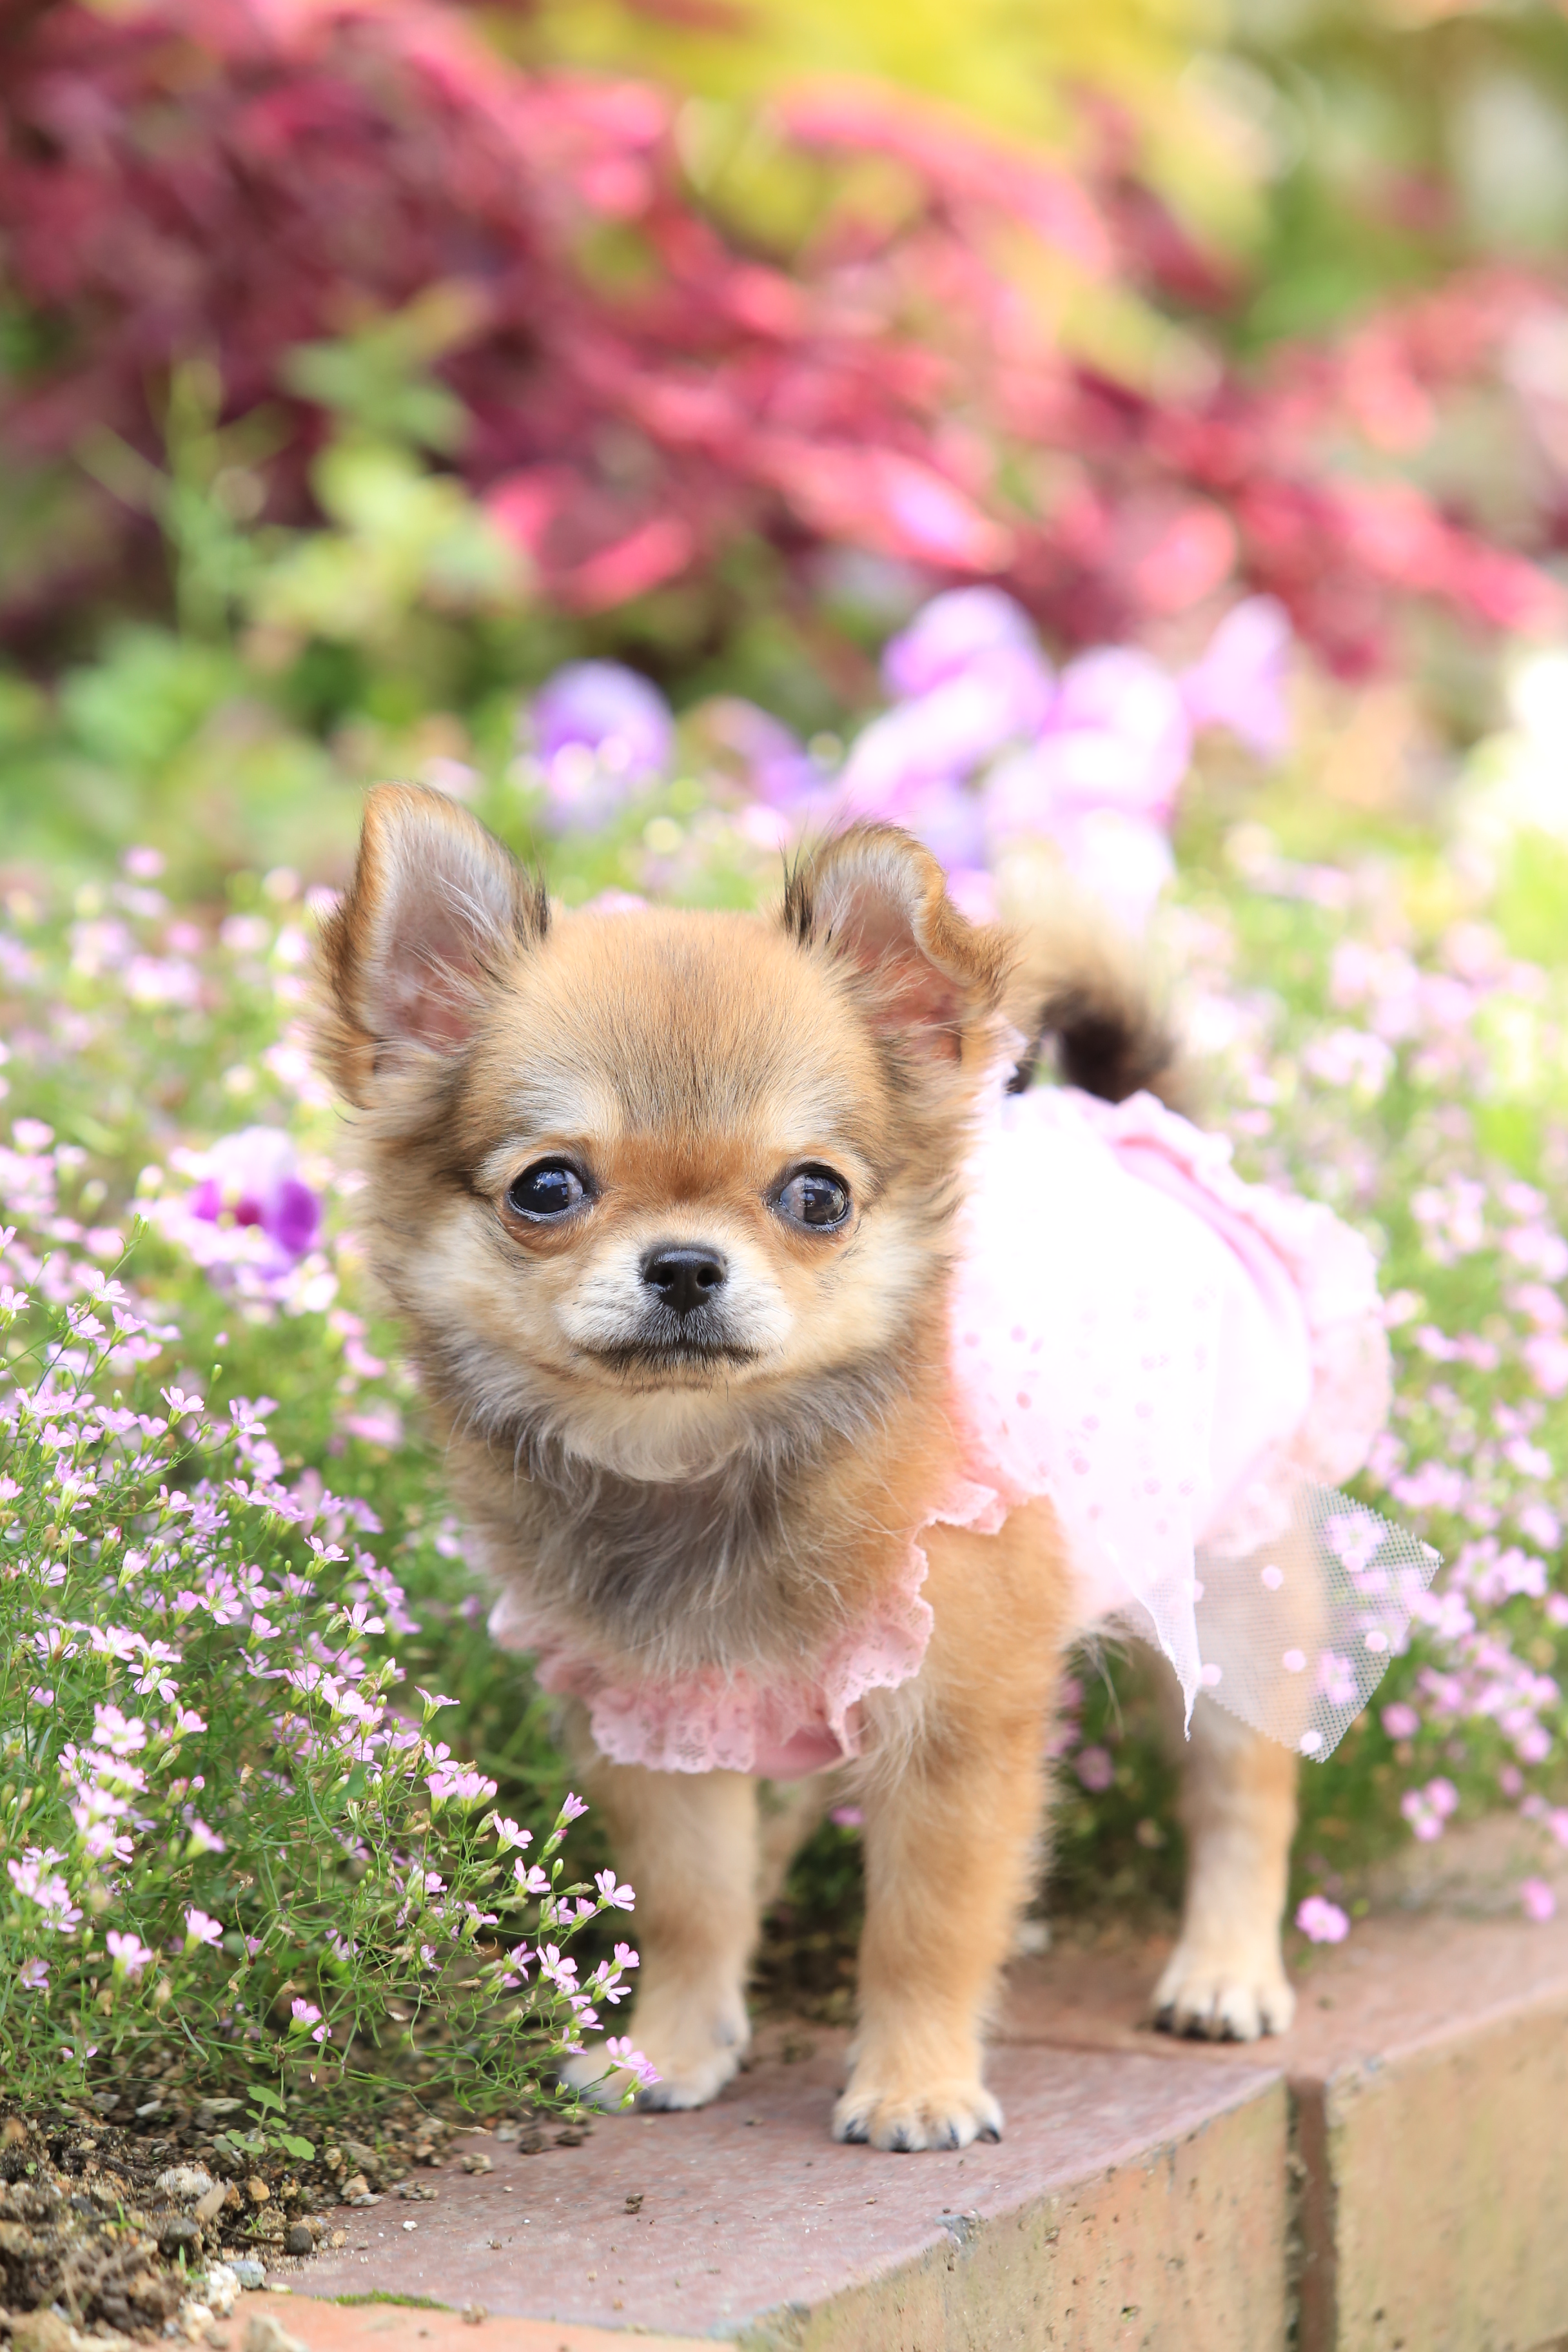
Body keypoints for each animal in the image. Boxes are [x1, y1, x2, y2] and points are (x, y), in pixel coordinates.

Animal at [312, 785, 1391, 2154]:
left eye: (815, 1195)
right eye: (548, 1186)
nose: (683, 1263)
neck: (709, 1461)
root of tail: (1141, 1130)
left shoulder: (955, 1726)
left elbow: (926, 1922)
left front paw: (916, 2082)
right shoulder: (654, 1712)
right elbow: (691, 1899)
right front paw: (668, 2045)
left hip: (1232, 1592)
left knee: (1242, 1795)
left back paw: (1224, 1968)